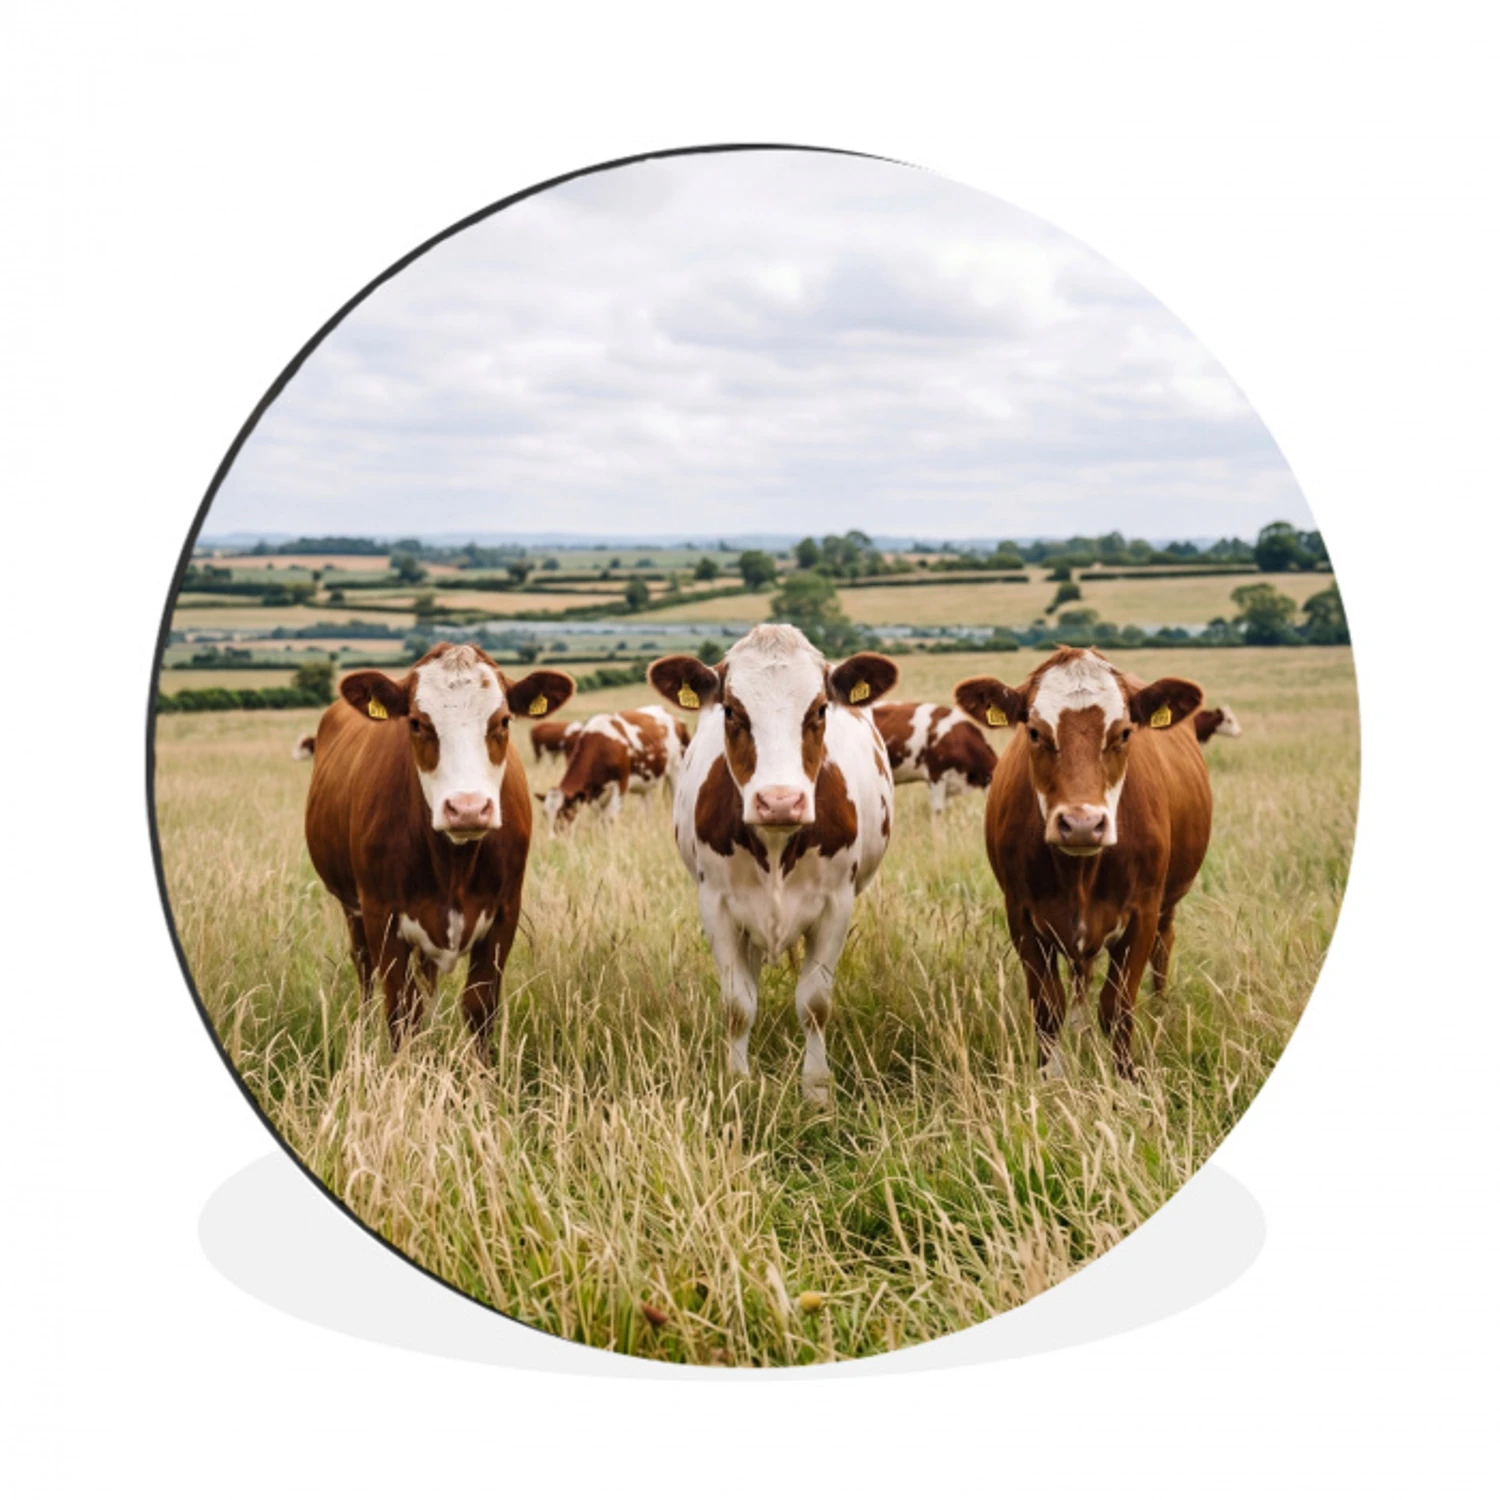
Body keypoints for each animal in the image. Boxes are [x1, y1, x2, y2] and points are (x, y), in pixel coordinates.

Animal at [303, 643, 574, 1053]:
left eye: (504, 721)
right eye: (416, 723)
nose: (467, 808)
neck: (453, 864)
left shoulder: (504, 914)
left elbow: (479, 1006)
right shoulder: (380, 915)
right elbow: (401, 1009)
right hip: (352, 909)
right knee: (364, 967)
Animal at [537, 706, 689, 833]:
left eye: (563, 811)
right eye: (544, 814)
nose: (553, 839)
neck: (600, 746)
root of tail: (677, 720)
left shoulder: (621, 784)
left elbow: (610, 818)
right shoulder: (592, 794)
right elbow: (601, 818)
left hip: (676, 770)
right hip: (646, 782)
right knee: (647, 807)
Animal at [649, 624, 898, 1103]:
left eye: (819, 710)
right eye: (731, 711)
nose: (779, 801)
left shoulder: (836, 905)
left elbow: (815, 1002)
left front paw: (816, 1089)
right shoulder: (717, 905)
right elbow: (737, 1004)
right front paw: (737, 1082)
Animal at [955, 646, 1211, 1081]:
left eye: (1123, 733)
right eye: (1034, 732)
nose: (1081, 824)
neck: (1079, 874)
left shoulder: (1142, 913)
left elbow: (1118, 1006)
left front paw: (1126, 1078)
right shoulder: (1021, 915)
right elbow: (1048, 1006)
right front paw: (1049, 1076)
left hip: (1168, 904)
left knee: (1164, 946)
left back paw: (1160, 1010)